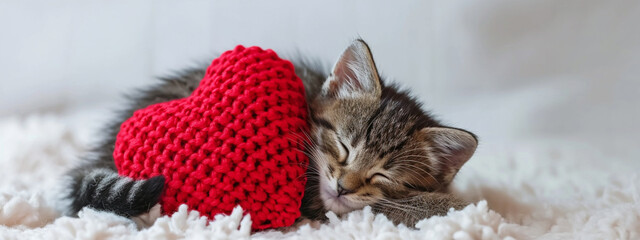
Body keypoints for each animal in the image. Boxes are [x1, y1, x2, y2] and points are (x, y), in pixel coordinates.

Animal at [58, 39, 476, 227]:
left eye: (383, 175)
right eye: (343, 146)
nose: (343, 187)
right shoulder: (316, 202)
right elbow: (380, 208)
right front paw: (455, 205)